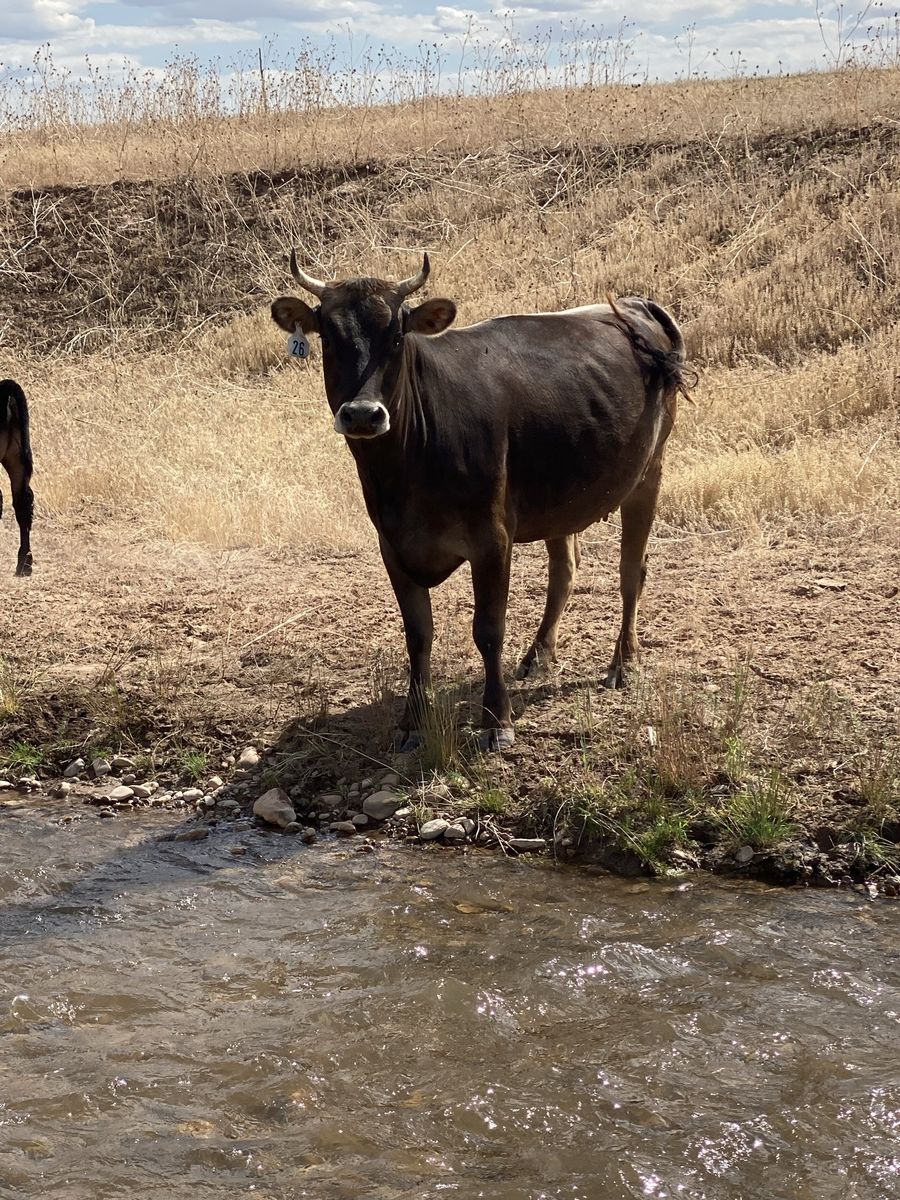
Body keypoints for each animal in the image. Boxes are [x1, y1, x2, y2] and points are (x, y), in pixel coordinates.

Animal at [271, 253, 690, 750]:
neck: (403, 472)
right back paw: (538, 655)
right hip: (560, 493)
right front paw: (412, 720)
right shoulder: (392, 546)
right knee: (564, 571)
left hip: (649, 471)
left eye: (396, 337)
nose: (362, 415)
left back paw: (623, 662)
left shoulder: (492, 539)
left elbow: (488, 630)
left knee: (631, 571)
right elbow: (418, 634)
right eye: (329, 337)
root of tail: (634, 303)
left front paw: (496, 719)